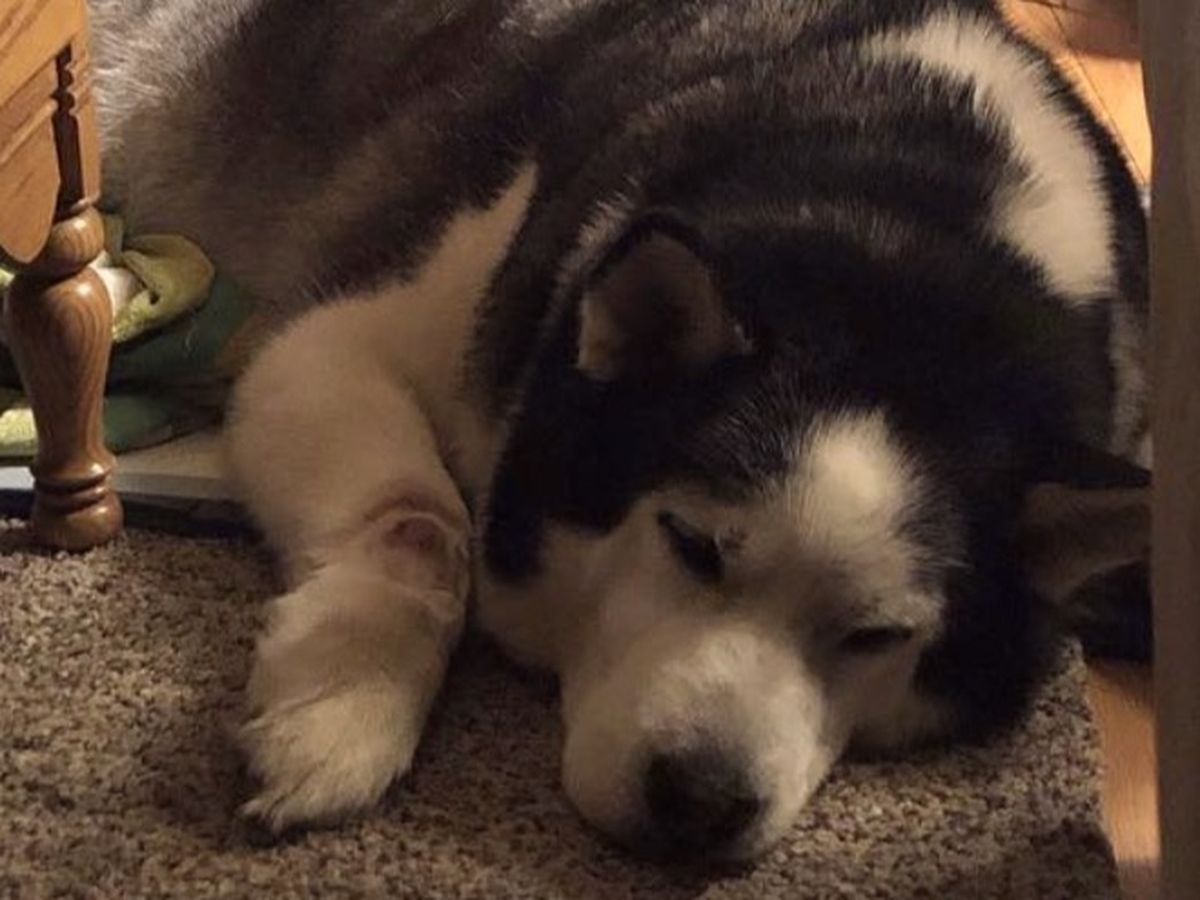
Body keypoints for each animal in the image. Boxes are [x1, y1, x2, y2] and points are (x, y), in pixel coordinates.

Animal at [89, 0, 1150, 859]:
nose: (701, 802)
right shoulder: (330, 342)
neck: (904, 265)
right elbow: (427, 523)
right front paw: (339, 711)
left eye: (878, 635)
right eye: (690, 542)